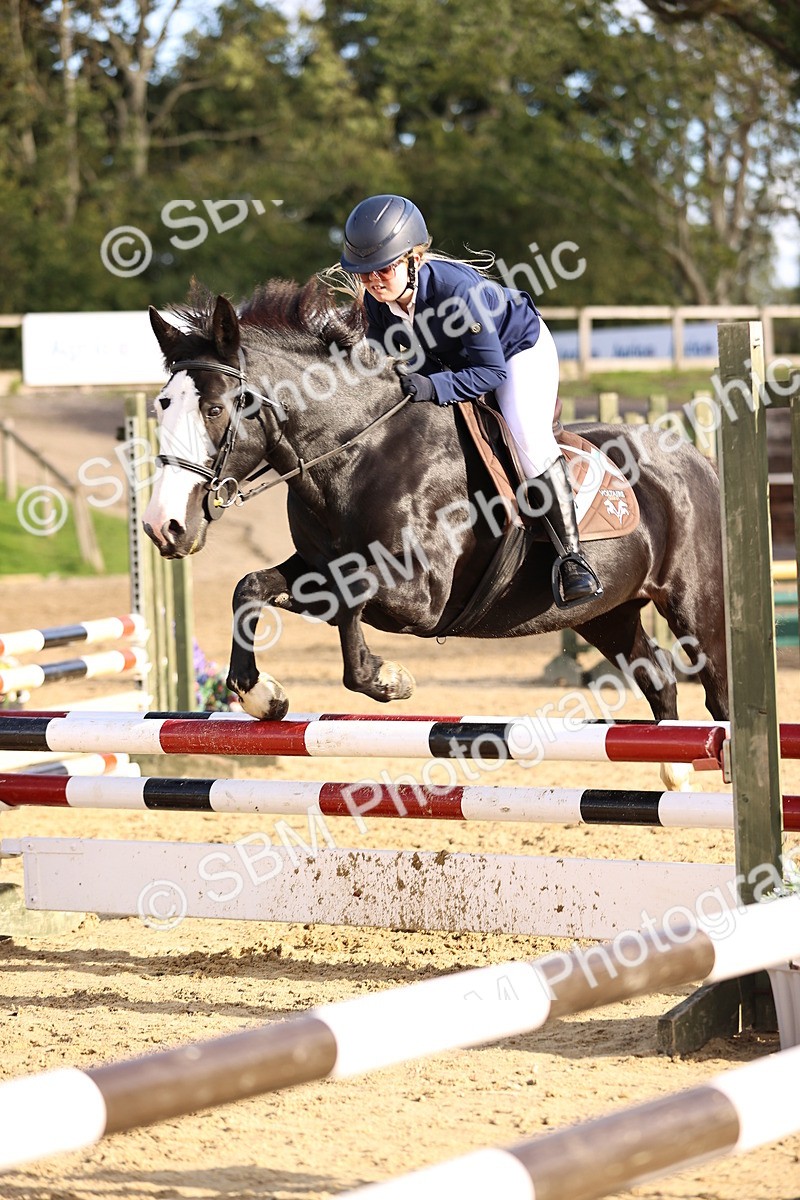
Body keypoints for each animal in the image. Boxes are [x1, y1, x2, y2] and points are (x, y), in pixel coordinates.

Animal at [143, 279, 728, 752]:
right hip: (606, 612)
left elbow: (352, 598)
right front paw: (262, 695)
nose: (162, 526)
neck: (355, 453)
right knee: (658, 679)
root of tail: (695, 456)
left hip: (694, 608)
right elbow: (252, 586)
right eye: (161, 407)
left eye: (214, 409)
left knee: (718, 694)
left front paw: (387, 678)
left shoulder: (421, 596)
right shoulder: (316, 565)